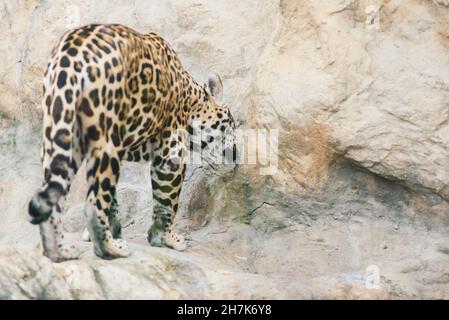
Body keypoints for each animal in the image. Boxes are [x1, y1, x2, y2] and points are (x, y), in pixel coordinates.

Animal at [27, 23, 238, 262]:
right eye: (231, 122)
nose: (236, 152)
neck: (189, 99)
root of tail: (69, 59)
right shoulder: (171, 151)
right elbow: (167, 199)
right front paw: (165, 238)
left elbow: (114, 200)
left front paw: (111, 230)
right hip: (106, 141)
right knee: (92, 204)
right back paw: (110, 249)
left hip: (61, 131)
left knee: (54, 192)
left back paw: (59, 251)